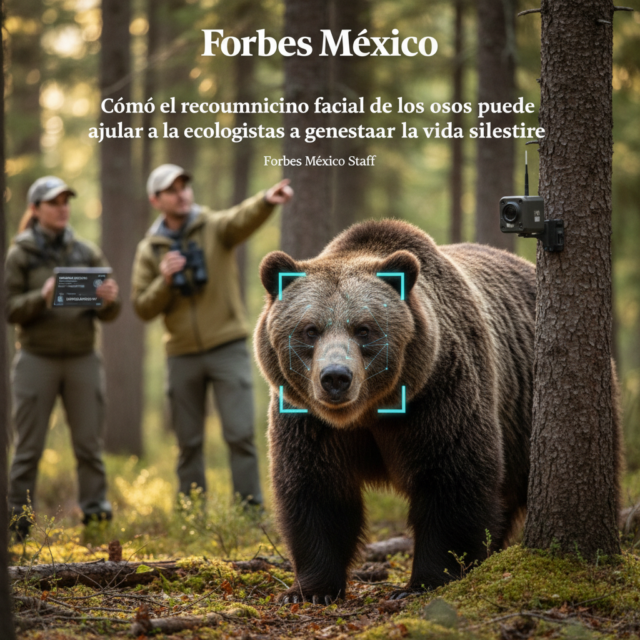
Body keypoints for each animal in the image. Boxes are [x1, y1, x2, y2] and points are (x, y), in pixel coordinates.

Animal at [254, 219, 536, 603]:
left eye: (364, 329)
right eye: (310, 330)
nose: (335, 378)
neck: (368, 413)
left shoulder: (439, 395)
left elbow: (452, 480)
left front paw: (424, 582)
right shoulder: (308, 419)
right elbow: (316, 489)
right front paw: (308, 590)